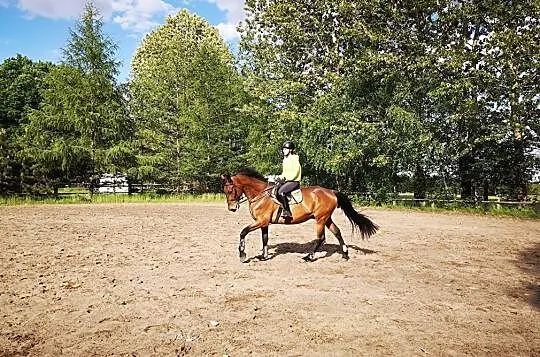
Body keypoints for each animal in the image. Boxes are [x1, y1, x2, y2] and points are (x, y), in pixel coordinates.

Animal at [219, 167, 380, 262]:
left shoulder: (261, 221)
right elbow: (265, 239)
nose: (232, 208)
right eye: (224, 191)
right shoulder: (264, 223)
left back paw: (309, 257)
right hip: (326, 218)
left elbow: (243, 232)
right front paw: (263, 256)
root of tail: (331, 191)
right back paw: (345, 254)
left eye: (231, 190)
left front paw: (242, 254)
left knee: (320, 237)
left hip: (320, 219)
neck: (260, 194)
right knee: (337, 232)